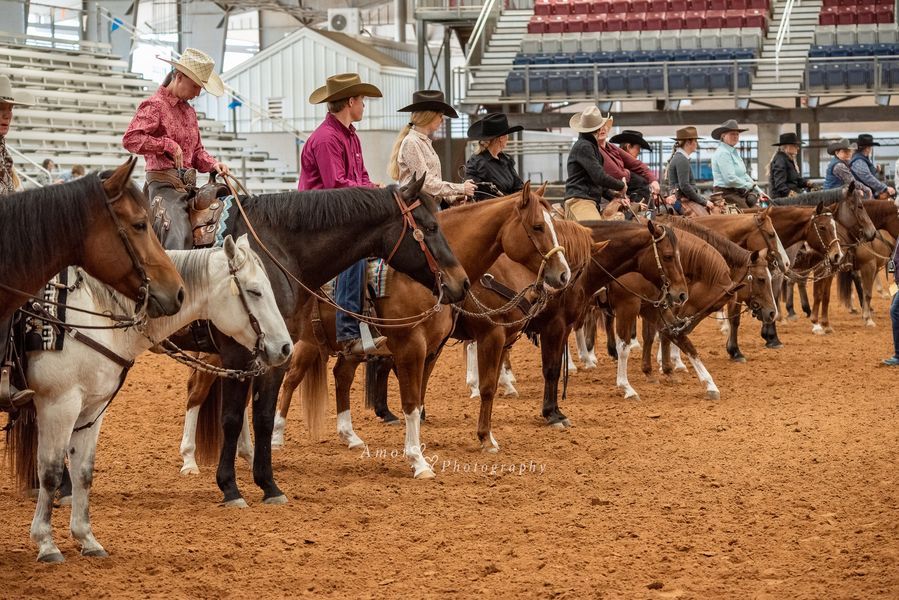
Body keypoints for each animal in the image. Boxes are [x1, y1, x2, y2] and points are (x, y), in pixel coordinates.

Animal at [8, 237, 294, 564]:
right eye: (255, 291)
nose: (286, 347)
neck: (90, 313)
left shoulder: (92, 409)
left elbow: (84, 471)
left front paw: (87, 539)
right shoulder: (59, 405)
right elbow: (51, 472)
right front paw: (46, 543)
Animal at [178, 177, 472, 502]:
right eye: (430, 227)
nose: (462, 282)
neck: (275, 252)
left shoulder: (274, 353)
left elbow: (261, 415)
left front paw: (267, 485)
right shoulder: (241, 352)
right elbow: (232, 417)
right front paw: (231, 487)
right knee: (197, 391)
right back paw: (189, 459)